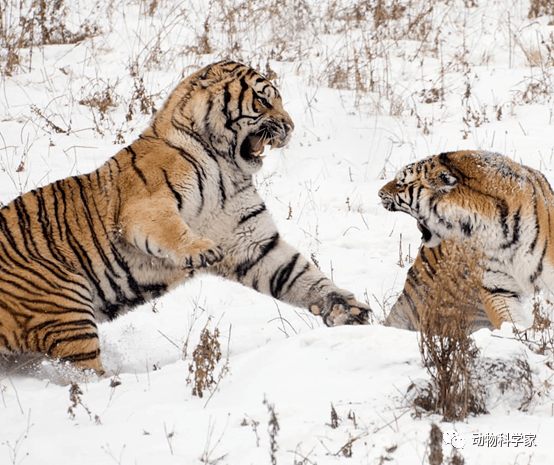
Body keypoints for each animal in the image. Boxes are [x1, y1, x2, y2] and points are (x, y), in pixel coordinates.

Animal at [1, 59, 370, 376]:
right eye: (264, 101)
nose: (290, 128)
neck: (228, 169)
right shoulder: (146, 207)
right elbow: (171, 230)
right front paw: (201, 250)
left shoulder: (250, 241)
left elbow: (302, 275)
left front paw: (348, 310)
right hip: (64, 301)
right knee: (83, 374)